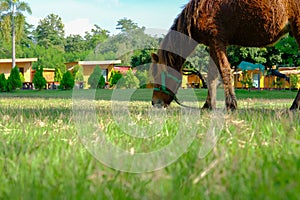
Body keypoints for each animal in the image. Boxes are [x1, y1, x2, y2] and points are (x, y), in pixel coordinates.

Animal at [151, 0, 300, 110]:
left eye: (158, 75)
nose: (154, 102)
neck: (198, 12)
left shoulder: (218, 42)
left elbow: (224, 70)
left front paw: (231, 105)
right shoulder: (212, 45)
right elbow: (212, 75)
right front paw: (208, 106)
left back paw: (294, 107)